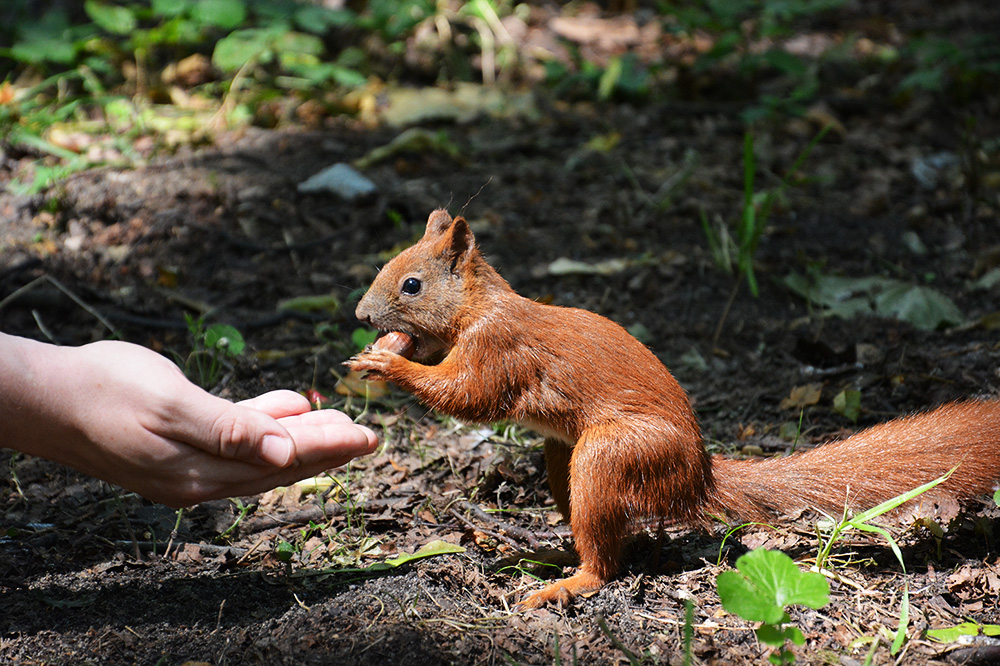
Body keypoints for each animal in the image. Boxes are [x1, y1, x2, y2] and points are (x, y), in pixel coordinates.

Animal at [348, 208, 1000, 608]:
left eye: (411, 285)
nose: (360, 315)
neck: (478, 309)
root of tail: (697, 475)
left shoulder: (498, 349)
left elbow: (469, 396)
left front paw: (386, 365)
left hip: (611, 454)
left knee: (606, 558)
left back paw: (568, 581)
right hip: (563, 458)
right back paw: (552, 551)